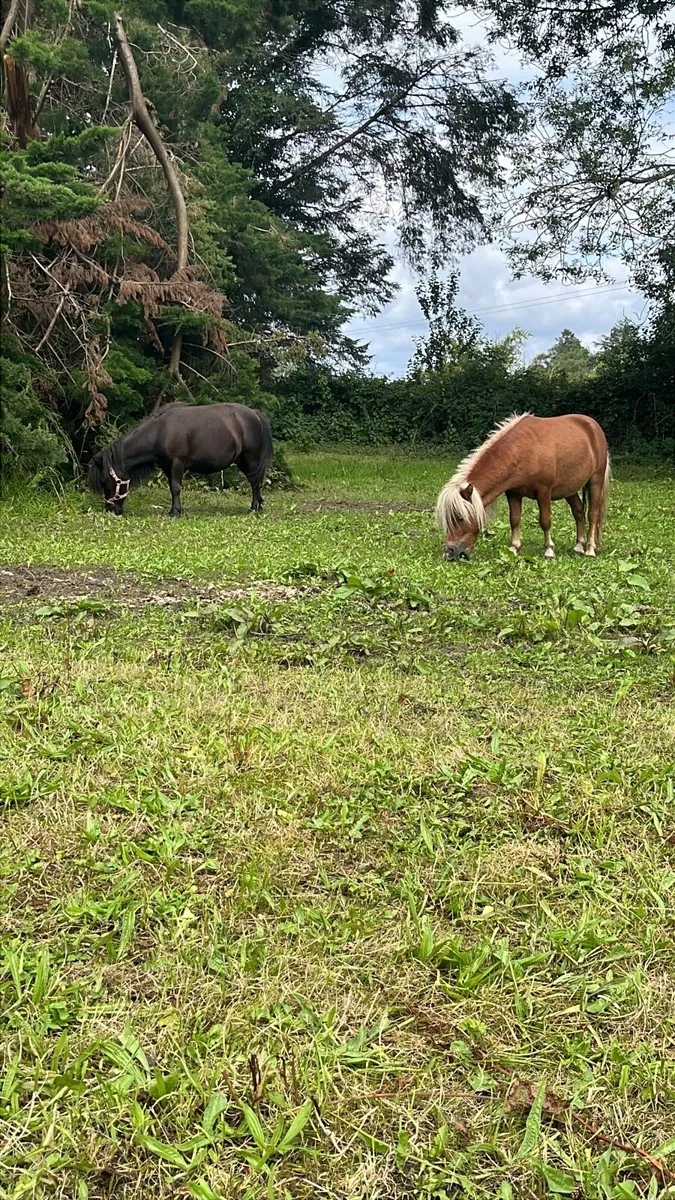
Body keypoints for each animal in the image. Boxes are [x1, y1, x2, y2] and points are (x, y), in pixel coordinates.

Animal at [88, 402, 273, 517]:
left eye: (106, 481)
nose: (111, 509)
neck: (160, 431)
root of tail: (255, 414)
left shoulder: (177, 464)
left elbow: (176, 488)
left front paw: (175, 512)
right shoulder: (167, 466)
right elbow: (172, 488)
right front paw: (175, 510)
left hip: (250, 459)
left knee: (255, 482)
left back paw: (254, 508)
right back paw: (259, 506)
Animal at [436, 413, 610, 561]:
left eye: (460, 518)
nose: (450, 553)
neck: (522, 451)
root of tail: (593, 426)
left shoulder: (544, 492)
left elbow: (545, 521)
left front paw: (549, 550)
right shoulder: (513, 494)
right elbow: (514, 520)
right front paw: (514, 548)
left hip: (596, 480)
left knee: (593, 514)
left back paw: (590, 549)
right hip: (570, 488)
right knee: (578, 511)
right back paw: (579, 546)